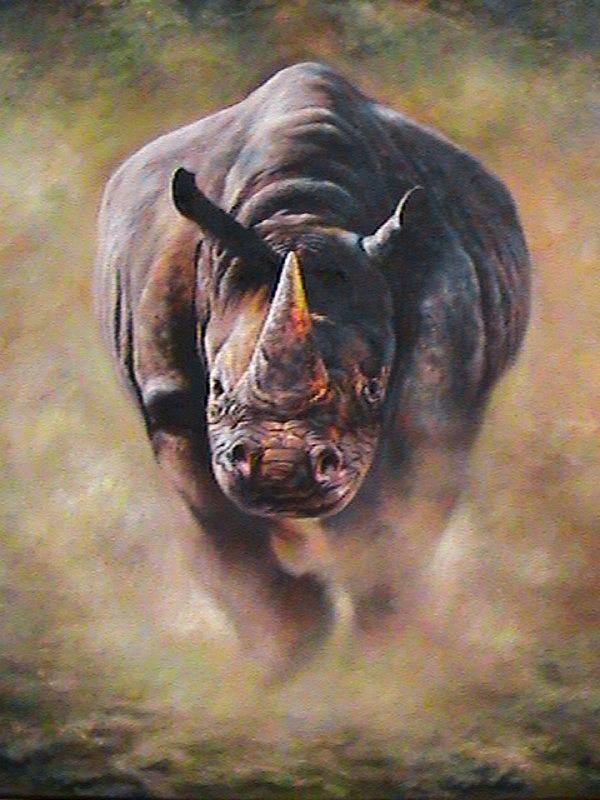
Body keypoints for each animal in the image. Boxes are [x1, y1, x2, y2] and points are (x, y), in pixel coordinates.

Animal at [95, 63, 530, 673]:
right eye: (217, 388)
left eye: (374, 389)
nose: (282, 473)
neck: (303, 212)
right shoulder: (172, 403)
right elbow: (224, 529)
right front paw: (289, 648)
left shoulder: (433, 401)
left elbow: (392, 524)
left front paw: (382, 657)